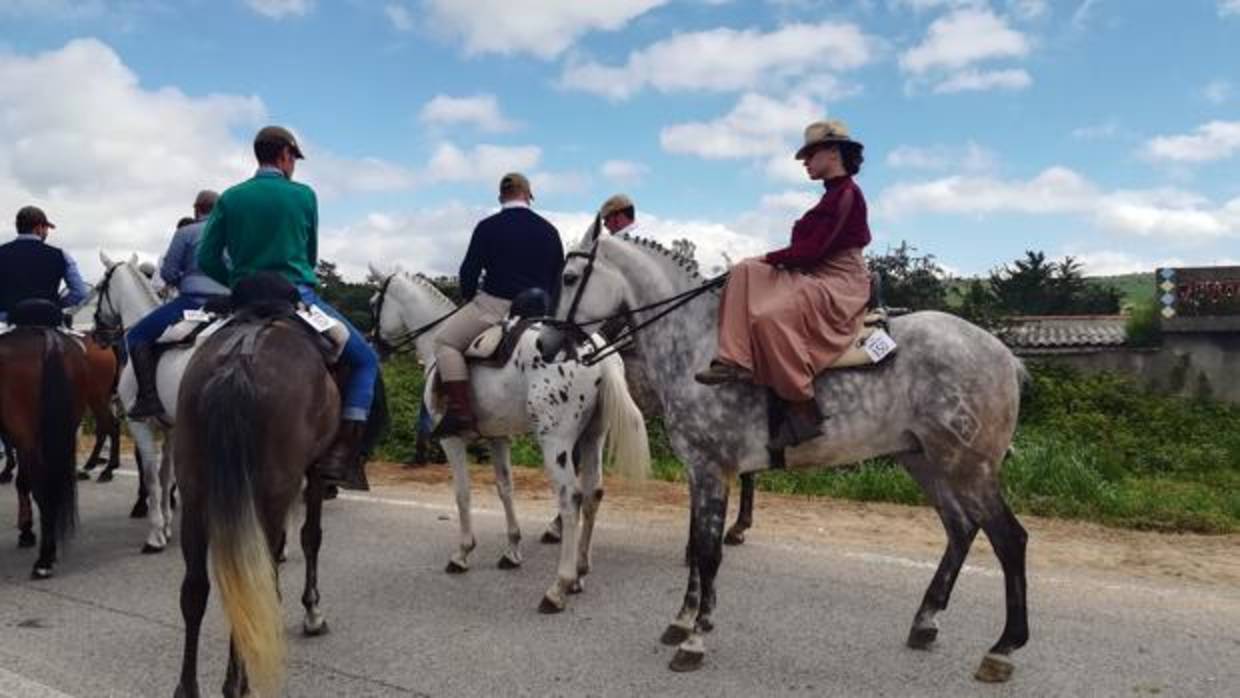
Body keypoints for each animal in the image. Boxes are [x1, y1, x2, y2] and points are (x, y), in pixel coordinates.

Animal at [93, 254, 188, 555]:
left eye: (100, 287)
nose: (97, 332)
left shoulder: (140, 424)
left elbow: (151, 476)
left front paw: (155, 535)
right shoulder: (171, 428)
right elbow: (166, 473)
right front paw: (167, 526)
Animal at [367, 267, 649, 612]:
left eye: (374, 303)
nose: (374, 344)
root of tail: (597, 352)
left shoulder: (451, 440)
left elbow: (462, 494)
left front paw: (463, 553)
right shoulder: (497, 438)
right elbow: (505, 488)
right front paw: (512, 551)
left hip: (555, 442)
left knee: (570, 499)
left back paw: (559, 586)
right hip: (591, 438)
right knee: (592, 495)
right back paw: (580, 572)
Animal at [558, 234, 1031, 684]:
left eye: (568, 277)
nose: (549, 342)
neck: (696, 345)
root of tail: (1004, 354)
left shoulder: (712, 470)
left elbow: (707, 553)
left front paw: (695, 639)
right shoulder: (699, 471)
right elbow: (697, 548)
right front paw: (682, 621)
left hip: (968, 467)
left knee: (1009, 540)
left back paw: (1003, 648)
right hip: (925, 461)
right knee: (961, 529)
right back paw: (926, 621)